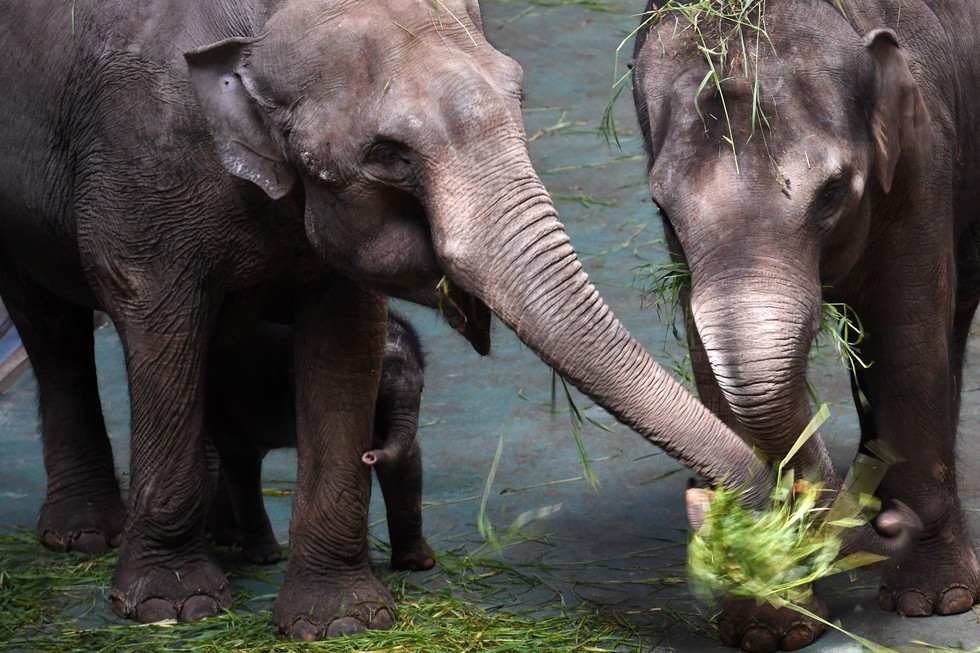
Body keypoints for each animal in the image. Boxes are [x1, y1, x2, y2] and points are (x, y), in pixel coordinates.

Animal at [209, 310, 434, 572]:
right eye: (378, 393)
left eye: (422, 388)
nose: (370, 456)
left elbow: (406, 459)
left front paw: (420, 564)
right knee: (241, 455)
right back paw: (266, 556)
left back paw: (230, 537)